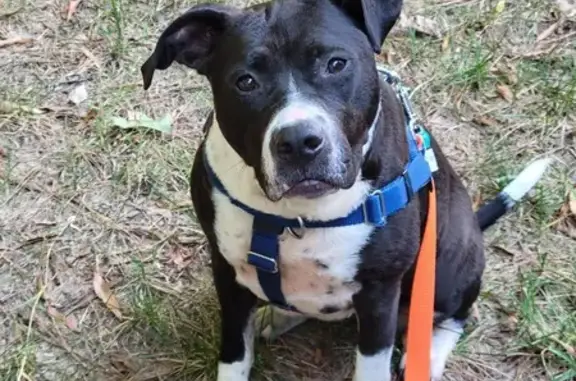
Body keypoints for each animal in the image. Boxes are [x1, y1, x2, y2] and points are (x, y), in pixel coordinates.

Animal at [142, 1, 552, 378]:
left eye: (336, 64)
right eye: (245, 81)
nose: (299, 142)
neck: (295, 216)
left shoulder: (379, 295)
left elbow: (372, 364)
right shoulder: (227, 274)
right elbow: (235, 355)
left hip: (448, 263)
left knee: (456, 313)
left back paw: (429, 356)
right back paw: (277, 316)